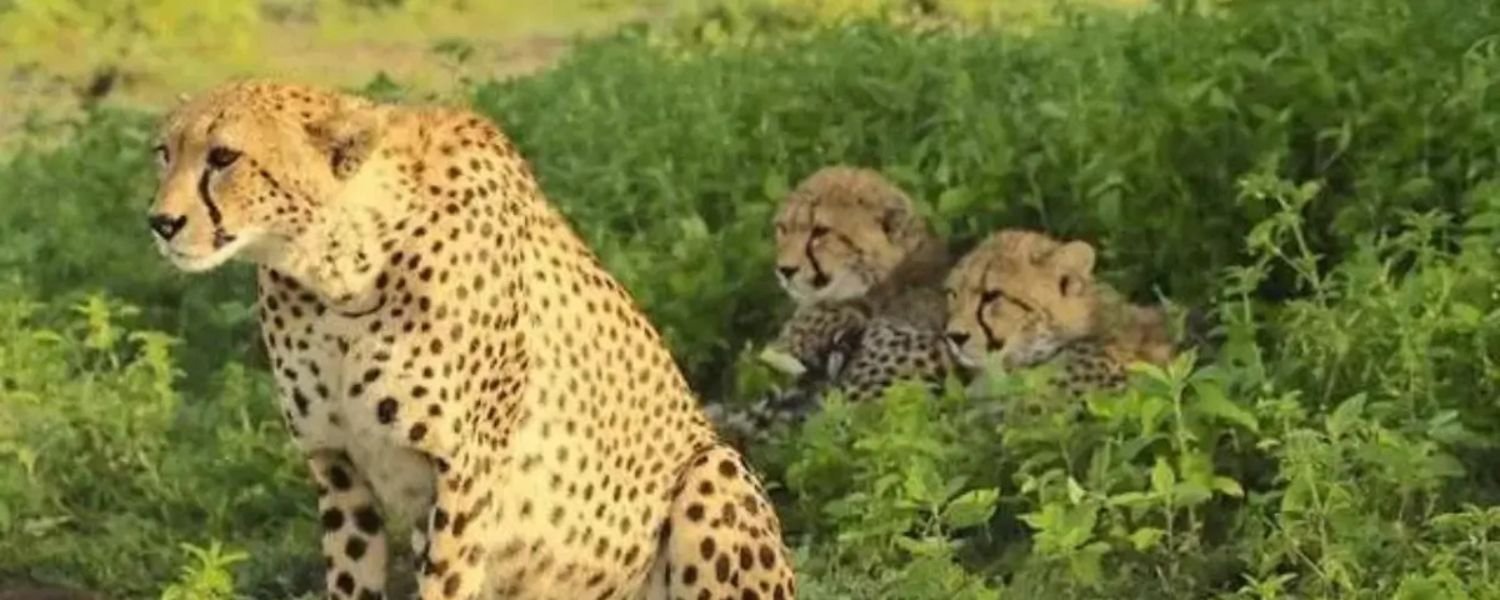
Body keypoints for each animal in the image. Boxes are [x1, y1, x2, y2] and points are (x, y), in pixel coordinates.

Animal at [144, 79, 796, 600]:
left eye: (224, 156)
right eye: (164, 153)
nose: (161, 222)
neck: (341, 274)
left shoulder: (465, 471)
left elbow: (446, 583)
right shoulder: (338, 467)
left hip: (713, 468)